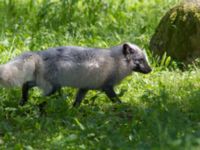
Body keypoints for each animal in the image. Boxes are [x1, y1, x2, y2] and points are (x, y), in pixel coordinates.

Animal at [0, 42, 151, 106]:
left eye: (145, 59)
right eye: (140, 60)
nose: (150, 70)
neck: (116, 61)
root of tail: (39, 54)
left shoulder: (84, 88)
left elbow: (77, 102)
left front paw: (73, 112)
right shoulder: (107, 87)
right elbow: (116, 100)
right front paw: (123, 107)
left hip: (44, 83)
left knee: (25, 85)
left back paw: (23, 102)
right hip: (52, 88)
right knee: (39, 97)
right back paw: (35, 108)